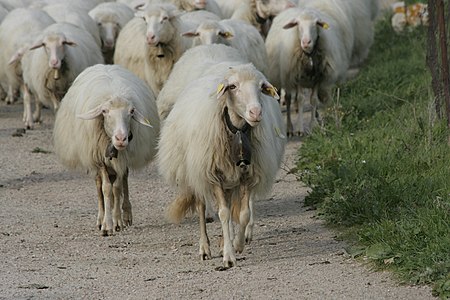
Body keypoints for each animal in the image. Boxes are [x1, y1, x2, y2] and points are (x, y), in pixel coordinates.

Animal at [53, 63, 160, 237]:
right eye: (104, 111)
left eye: (131, 112)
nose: (121, 138)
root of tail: (105, 64)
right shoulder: (99, 158)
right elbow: (106, 189)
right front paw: (107, 224)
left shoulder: (123, 158)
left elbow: (117, 188)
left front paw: (117, 221)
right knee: (99, 186)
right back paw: (101, 217)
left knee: (123, 182)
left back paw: (126, 214)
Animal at [157, 44, 284, 268]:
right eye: (233, 86)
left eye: (261, 87)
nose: (256, 112)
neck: (238, 130)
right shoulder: (213, 175)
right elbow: (223, 213)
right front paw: (229, 257)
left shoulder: (247, 175)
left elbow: (243, 214)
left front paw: (237, 244)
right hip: (197, 173)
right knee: (201, 208)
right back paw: (205, 248)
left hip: (230, 179)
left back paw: (226, 241)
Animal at [266, 6, 354, 135]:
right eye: (297, 24)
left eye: (316, 24)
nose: (306, 42)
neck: (309, 55)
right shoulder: (297, 77)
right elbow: (301, 99)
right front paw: (300, 129)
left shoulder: (318, 78)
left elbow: (313, 100)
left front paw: (313, 126)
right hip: (287, 77)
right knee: (288, 99)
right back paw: (289, 128)